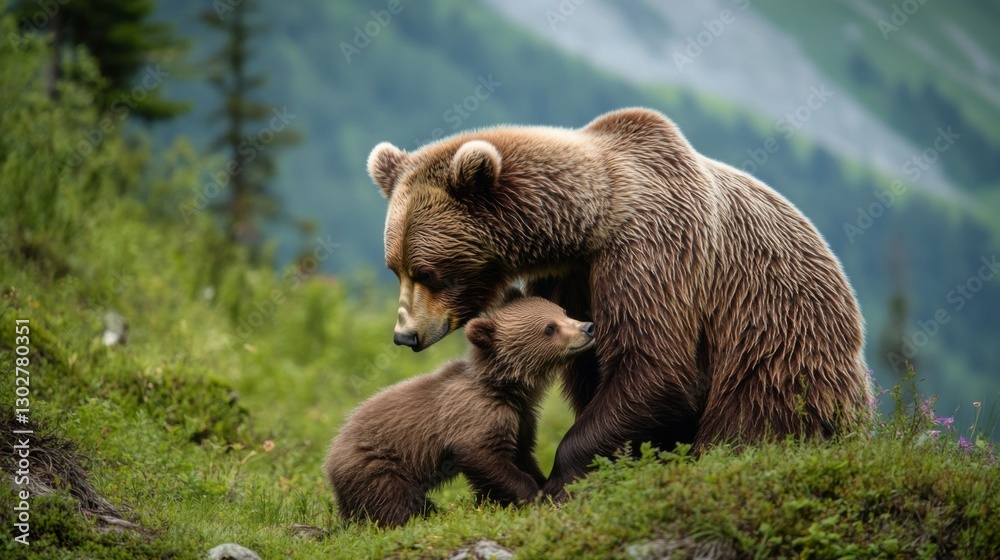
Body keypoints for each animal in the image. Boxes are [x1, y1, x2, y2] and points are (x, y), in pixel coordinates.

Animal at [324, 293, 594, 527]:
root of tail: (330, 456)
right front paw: (532, 497)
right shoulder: (476, 415)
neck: (505, 390)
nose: (588, 327)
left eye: (563, 311)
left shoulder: (521, 418)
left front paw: (544, 485)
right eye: (550, 328)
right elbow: (483, 456)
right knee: (391, 498)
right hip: (377, 464)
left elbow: (522, 455)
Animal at [366, 107, 873, 499]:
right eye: (395, 268)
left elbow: (654, 367)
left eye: (429, 272)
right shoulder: (570, 276)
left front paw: (562, 481)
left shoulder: (652, 251)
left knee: (755, 414)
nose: (405, 334)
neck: (588, 226)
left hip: (778, 343)